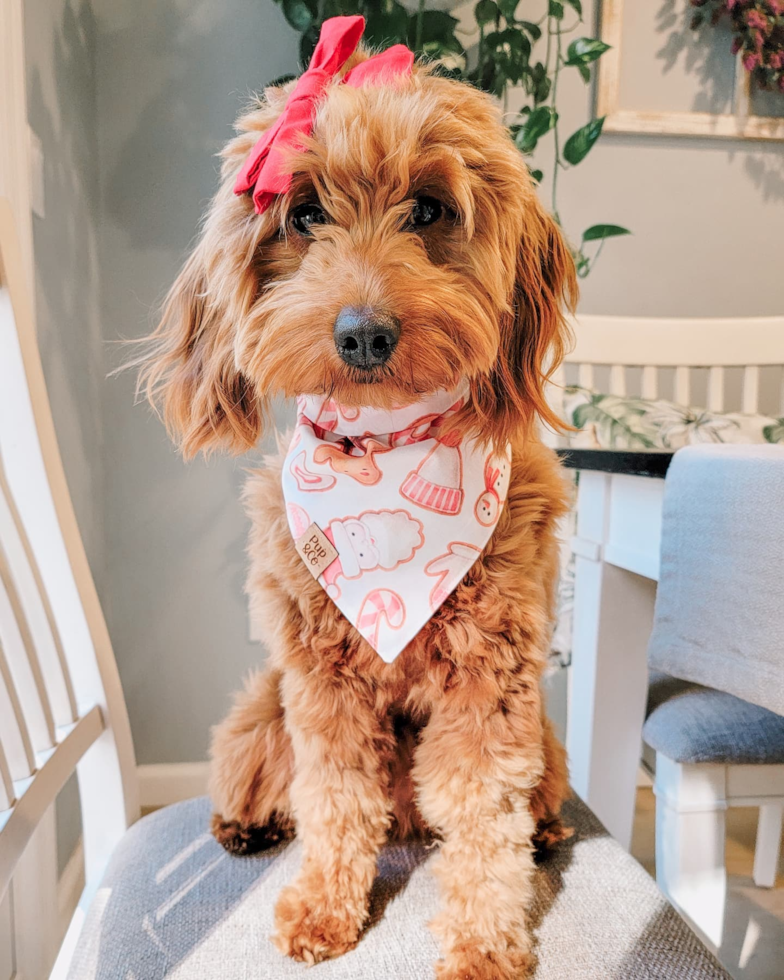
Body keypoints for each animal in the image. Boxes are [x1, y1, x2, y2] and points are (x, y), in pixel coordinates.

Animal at [138, 17, 576, 980]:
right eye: (303, 213)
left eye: (429, 209)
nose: (364, 333)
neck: (384, 444)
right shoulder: (322, 683)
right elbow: (336, 798)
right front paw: (323, 909)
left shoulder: (492, 681)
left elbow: (484, 812)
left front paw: (486, 939)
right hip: (262, 706)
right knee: (265, 777)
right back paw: (242, 825)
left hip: (548, 736)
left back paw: (549, 829)